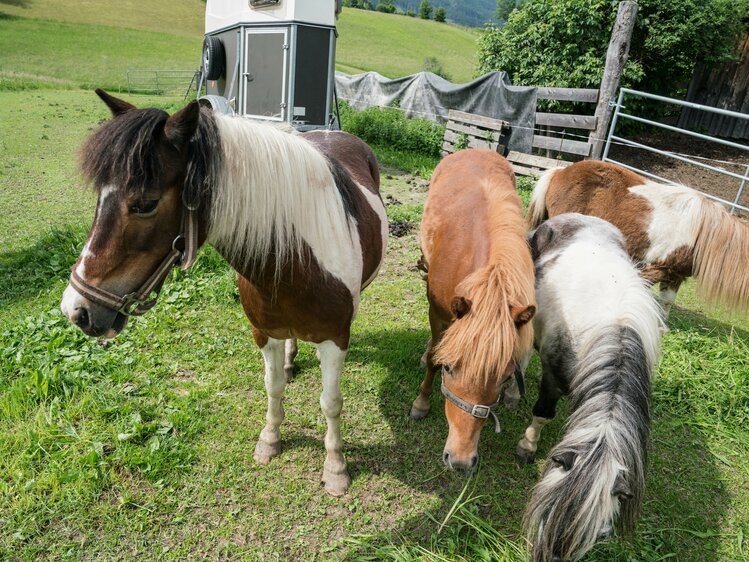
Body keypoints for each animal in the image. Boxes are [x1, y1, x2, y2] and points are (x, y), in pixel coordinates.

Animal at [58, 88, 386, 494]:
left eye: (145, 204)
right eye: (100, 198)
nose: (76, 310)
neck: (297, 264)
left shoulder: (335, 339)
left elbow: (331, 402)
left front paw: (336, 468)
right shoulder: (264, 333)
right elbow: (273, 386)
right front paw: (270, 439)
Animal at [410, 148, 536, 468]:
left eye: (504, 378)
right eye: (450, 368)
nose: (461, 460)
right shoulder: (438, 314)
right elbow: (434, 356)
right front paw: (421, 402)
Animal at [516, 212, 660, 556]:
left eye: (601, 534)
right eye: (546, 510)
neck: (613, 329)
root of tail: (579, 217)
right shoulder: (553, 377)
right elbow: (543, 412)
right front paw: (527, 446)